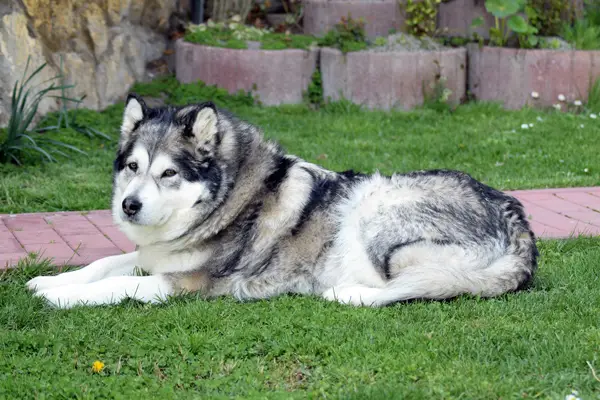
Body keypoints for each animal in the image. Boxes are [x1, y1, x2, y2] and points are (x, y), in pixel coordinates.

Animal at [27, 95, 540, 308]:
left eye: (168, 173)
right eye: (132, 167)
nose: (129, 206)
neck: (227, 202)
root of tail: (519, 222)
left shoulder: (190, 283)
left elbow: (118, 285)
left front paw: (62, 297)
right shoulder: (154, 256)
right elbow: (104, 263)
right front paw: (49, 281)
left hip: (376, 214)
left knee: (418, 286)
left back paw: (346, 293)